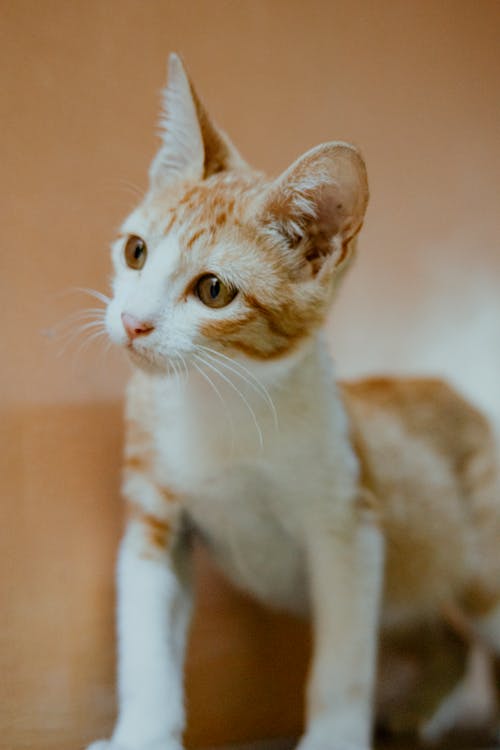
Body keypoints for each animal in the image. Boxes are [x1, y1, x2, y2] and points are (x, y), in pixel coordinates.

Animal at [87, 54, 500, 750]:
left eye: (214, 290)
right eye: (136, 251)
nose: (133, 322)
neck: (218, 401)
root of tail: (455, 390)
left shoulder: (349, 526)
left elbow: (343, 661)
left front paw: (333, 735)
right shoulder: (154, 520)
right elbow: (145, 648)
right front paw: (141, 733)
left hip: (477, 567)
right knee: (446, 637)